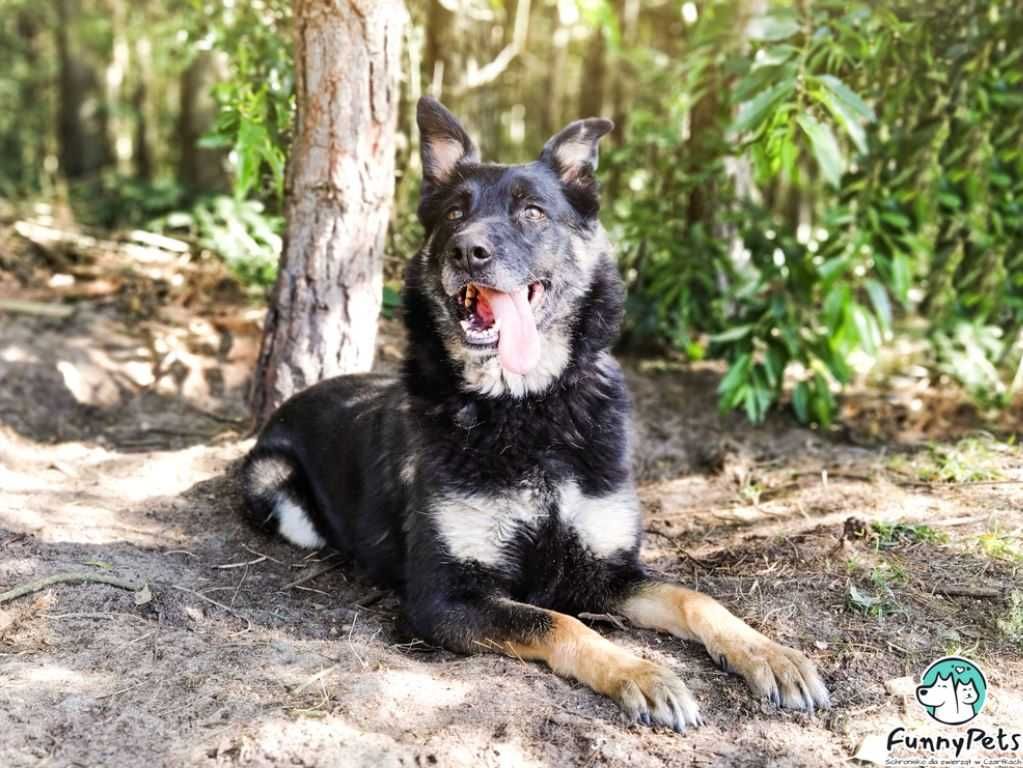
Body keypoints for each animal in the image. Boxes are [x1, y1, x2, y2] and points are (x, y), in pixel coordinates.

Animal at [241, 97, 830, 732]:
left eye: (532, 212)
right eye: (454, 212)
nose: (467, 251)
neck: (528, 409)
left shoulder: (606, 572)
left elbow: (694, 597)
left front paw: (770, 654)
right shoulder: (447, 598)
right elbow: (560, 622)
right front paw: (642, 673)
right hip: (276, 490)